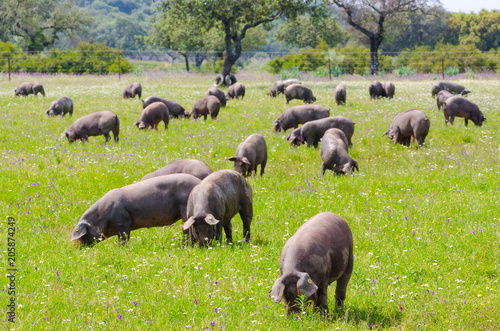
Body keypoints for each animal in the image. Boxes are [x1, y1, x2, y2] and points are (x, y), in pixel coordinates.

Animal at [71, 174, 203, 246]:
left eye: (82, 235)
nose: (75, 247)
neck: (102, 215)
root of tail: (199, 183)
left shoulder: (122, 221)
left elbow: (123, 239)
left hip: (184, 207)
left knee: (186, 229)